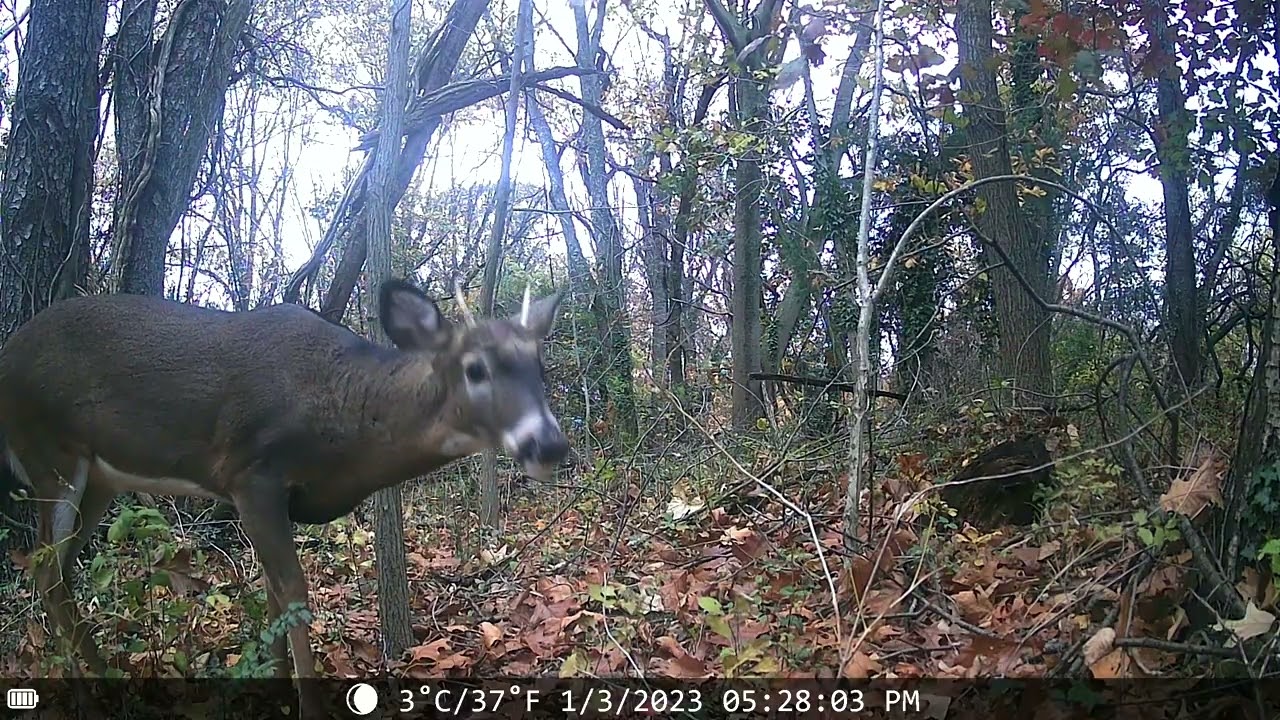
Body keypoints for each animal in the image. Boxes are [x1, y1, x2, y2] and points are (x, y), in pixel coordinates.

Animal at [0, 278, 569, 717]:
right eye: (475, 369)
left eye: (540, 368)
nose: (549, 444)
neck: (343, 419)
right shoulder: (250, 474)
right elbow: (293, 593)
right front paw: (306, 707)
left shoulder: (283, 499)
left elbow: (273, 595)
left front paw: (271, 693)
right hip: (50, 453)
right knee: (45, 570)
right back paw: (93, 697)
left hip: (99, 479)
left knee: (57, 570)